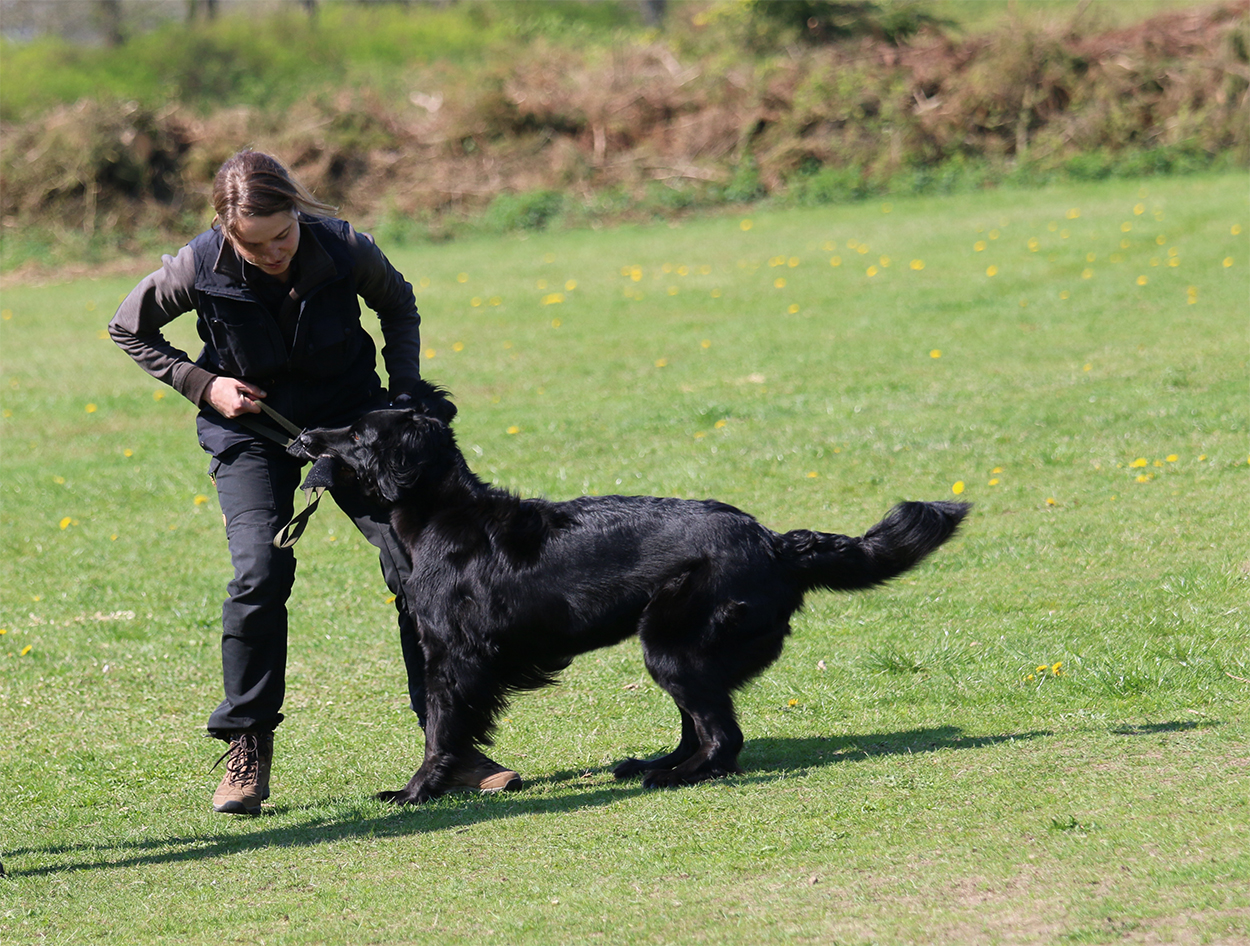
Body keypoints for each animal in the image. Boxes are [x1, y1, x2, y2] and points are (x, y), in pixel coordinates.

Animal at [290, 381, 969, 804]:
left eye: (356, 434)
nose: (304, 436)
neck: (440, 513)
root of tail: (774, 541)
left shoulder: (452, 658)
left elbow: (439, 729)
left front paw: (415, 791)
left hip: (671, 642)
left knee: (722, 737)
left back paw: (674, 779)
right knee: (700, 728)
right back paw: (655, 765)